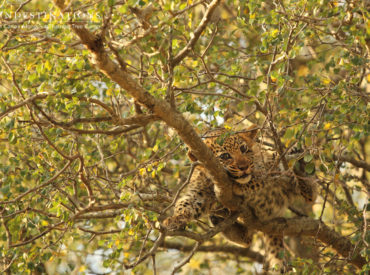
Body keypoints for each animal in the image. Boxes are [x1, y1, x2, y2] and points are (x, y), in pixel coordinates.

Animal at [163, 125, 318, 272]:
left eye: (243, 148)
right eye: (225, 156)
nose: (244, 167)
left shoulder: (267, 169)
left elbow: (256, 179)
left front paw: (238, 185)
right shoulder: (199, 192)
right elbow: (185, 203)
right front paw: (174, 220)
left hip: (285, 174)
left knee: (310, 195)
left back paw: (299, 164)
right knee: (247, 239)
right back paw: (219, 219)